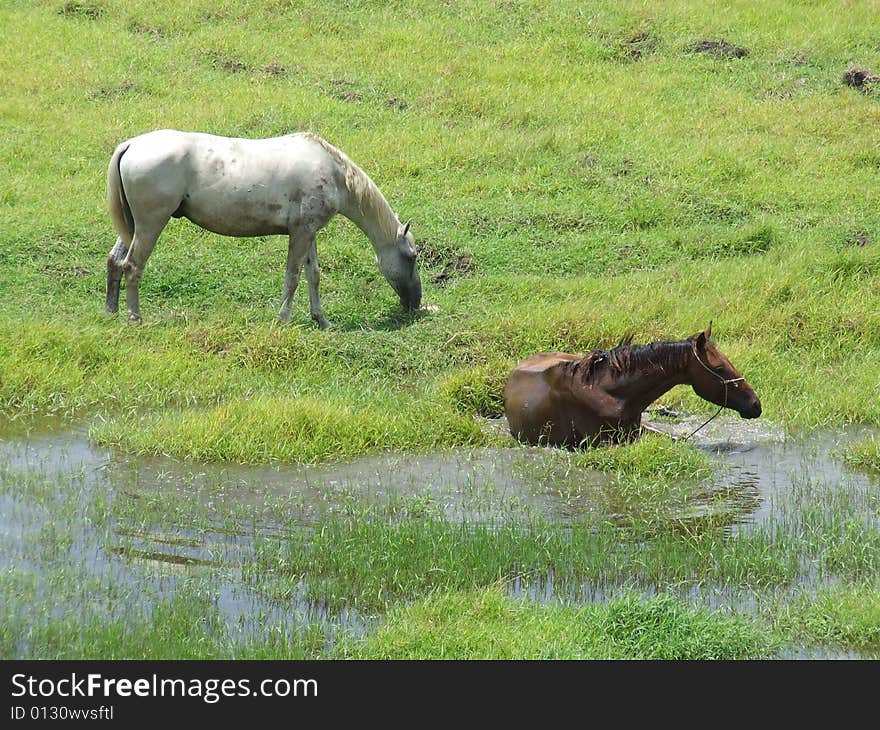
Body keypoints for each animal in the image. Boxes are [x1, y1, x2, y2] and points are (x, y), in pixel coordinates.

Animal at [106, 129, 422, 328]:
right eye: (412, 257)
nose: (416, 303)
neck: (334, 174)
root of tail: (132, 144)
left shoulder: (309, 232)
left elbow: (313, 276)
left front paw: (321, 320)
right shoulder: (300, 233)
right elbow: (293, 277)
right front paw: (283, 319)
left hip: (134, 227)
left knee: (115, 261)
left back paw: (111, 311)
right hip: (150, 225)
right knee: (132, 266)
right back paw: (134, 319)